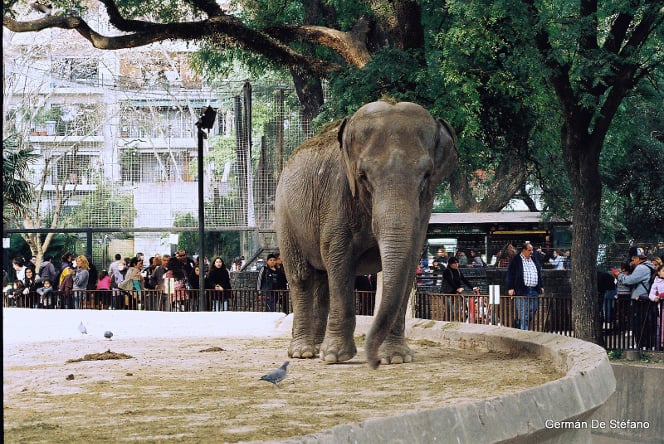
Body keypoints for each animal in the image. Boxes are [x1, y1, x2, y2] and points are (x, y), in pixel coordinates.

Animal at [275, 101, 458, 368]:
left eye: (426, 175)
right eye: (363, 176)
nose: (374, 362)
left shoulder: (424, 208)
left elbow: (409, 262)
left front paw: (396, 358)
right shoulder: (336, 195)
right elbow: (338, 260)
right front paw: (335, 357)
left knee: (321, 280)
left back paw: (316, 349)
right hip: (285, 216)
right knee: (302, 276)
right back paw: (304, 352)